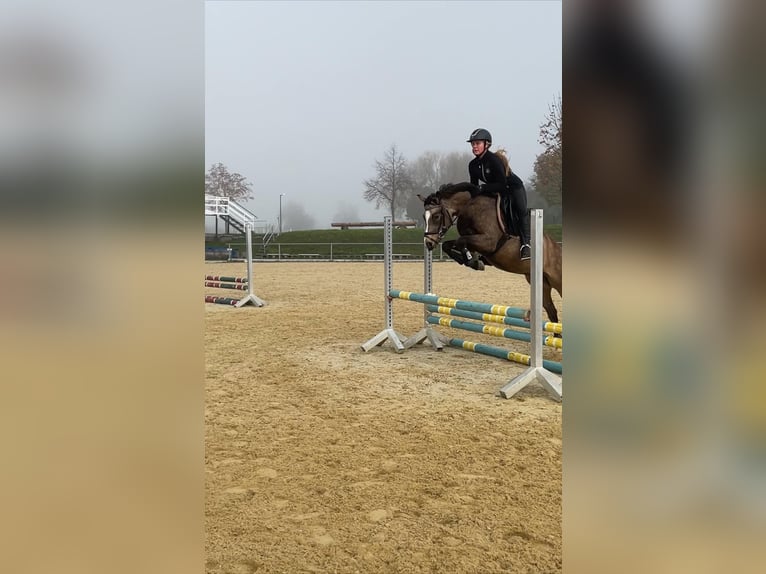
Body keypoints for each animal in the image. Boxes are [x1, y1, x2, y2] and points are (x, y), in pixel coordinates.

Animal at [420, 182, 564, 326]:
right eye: (423, 217)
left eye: (436, 216)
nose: (428, 243)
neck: (469, 207)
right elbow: (448, 245)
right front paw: (472, 260)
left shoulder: (488, 242)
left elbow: (461, 242)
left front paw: (472, 260)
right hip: (541, 282)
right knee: (551, 311)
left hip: (557, 280)